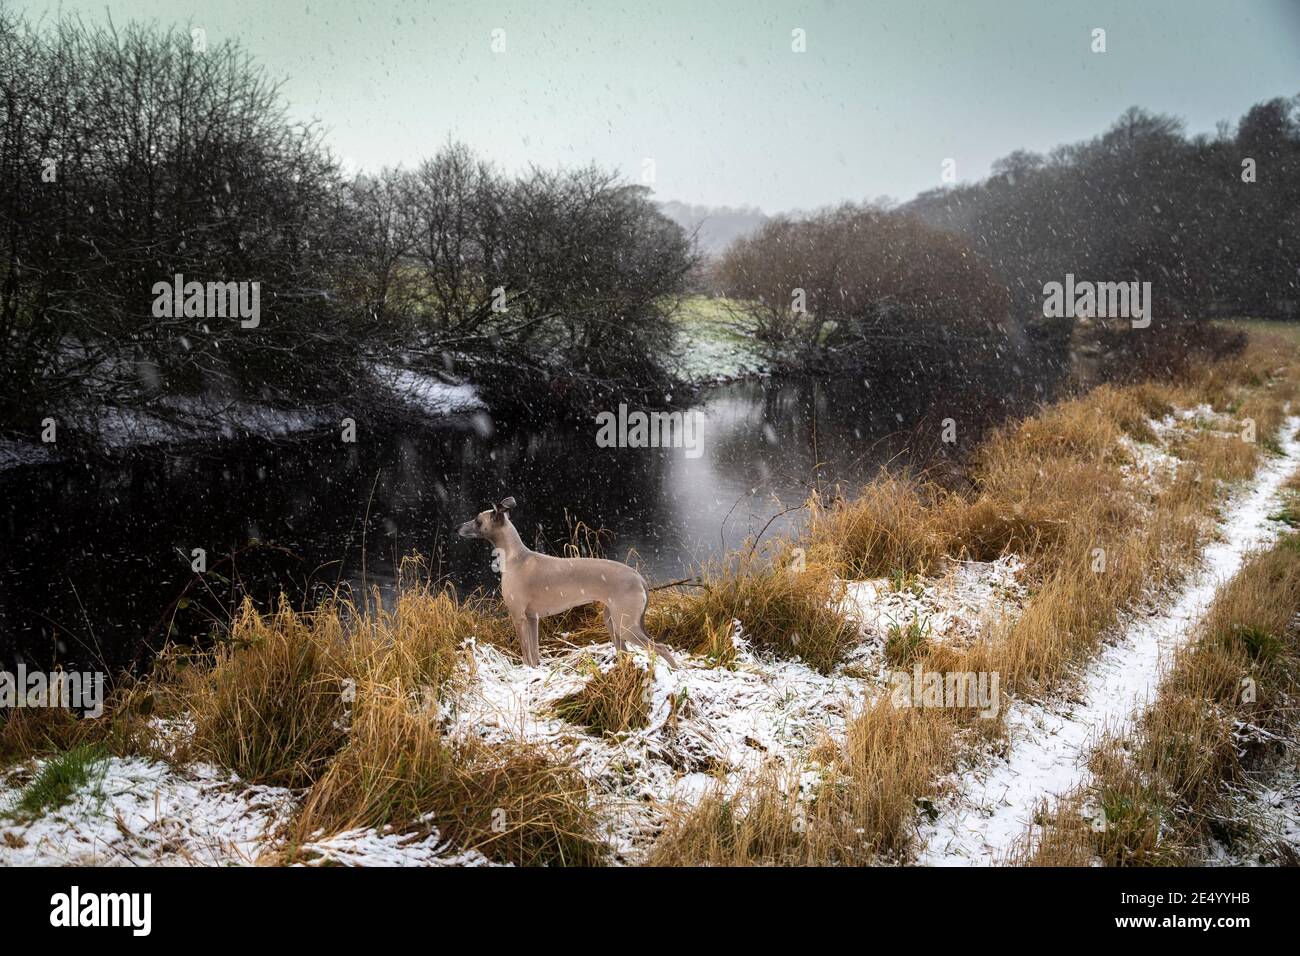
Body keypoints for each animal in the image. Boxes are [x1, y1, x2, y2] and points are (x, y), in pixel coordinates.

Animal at [457, 496, 681, 671]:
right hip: (613, 622)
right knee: (625, 651)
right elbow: (535, 653)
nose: (457, 527)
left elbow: (526, 653)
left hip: (626, 625)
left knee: (661, 649)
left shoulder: (518, 616)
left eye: (477, 520)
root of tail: (639, 578)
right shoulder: (532, 618)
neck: (515, 558)